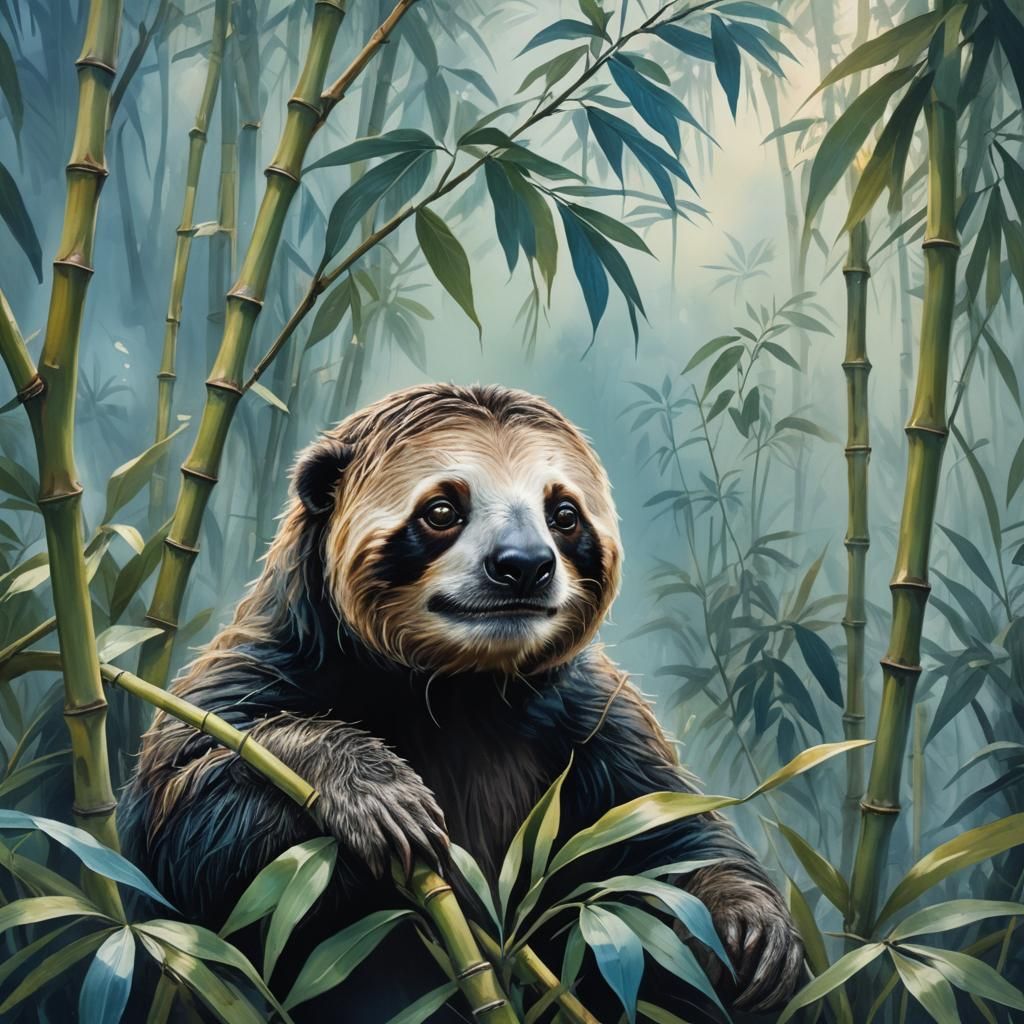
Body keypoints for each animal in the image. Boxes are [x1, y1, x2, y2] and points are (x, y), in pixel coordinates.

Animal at [121, 383, 803, 1022]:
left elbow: (666, 835)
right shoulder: (269, 664)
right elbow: (184, 823)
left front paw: (751, 926)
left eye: (564, 514)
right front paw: (380, 795)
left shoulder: (593, 716)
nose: (524, 566)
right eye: (443, 509)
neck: (460, 681)